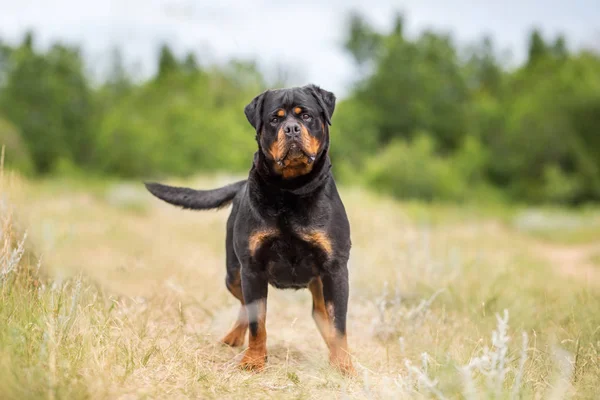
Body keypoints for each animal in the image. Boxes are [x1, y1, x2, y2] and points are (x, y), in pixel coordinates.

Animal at [144, 83, 354, 376]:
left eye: (306, 115)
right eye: (275, 119)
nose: (291, 129)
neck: (290, 190)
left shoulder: (335, 269)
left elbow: (339, 324)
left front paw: (343, 365)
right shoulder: (252, 267)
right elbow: (258, 322)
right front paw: (253, 360)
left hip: (319, 281)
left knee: (321, 313)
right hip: (233, 274)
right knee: (245, 306)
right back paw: (233, 338)